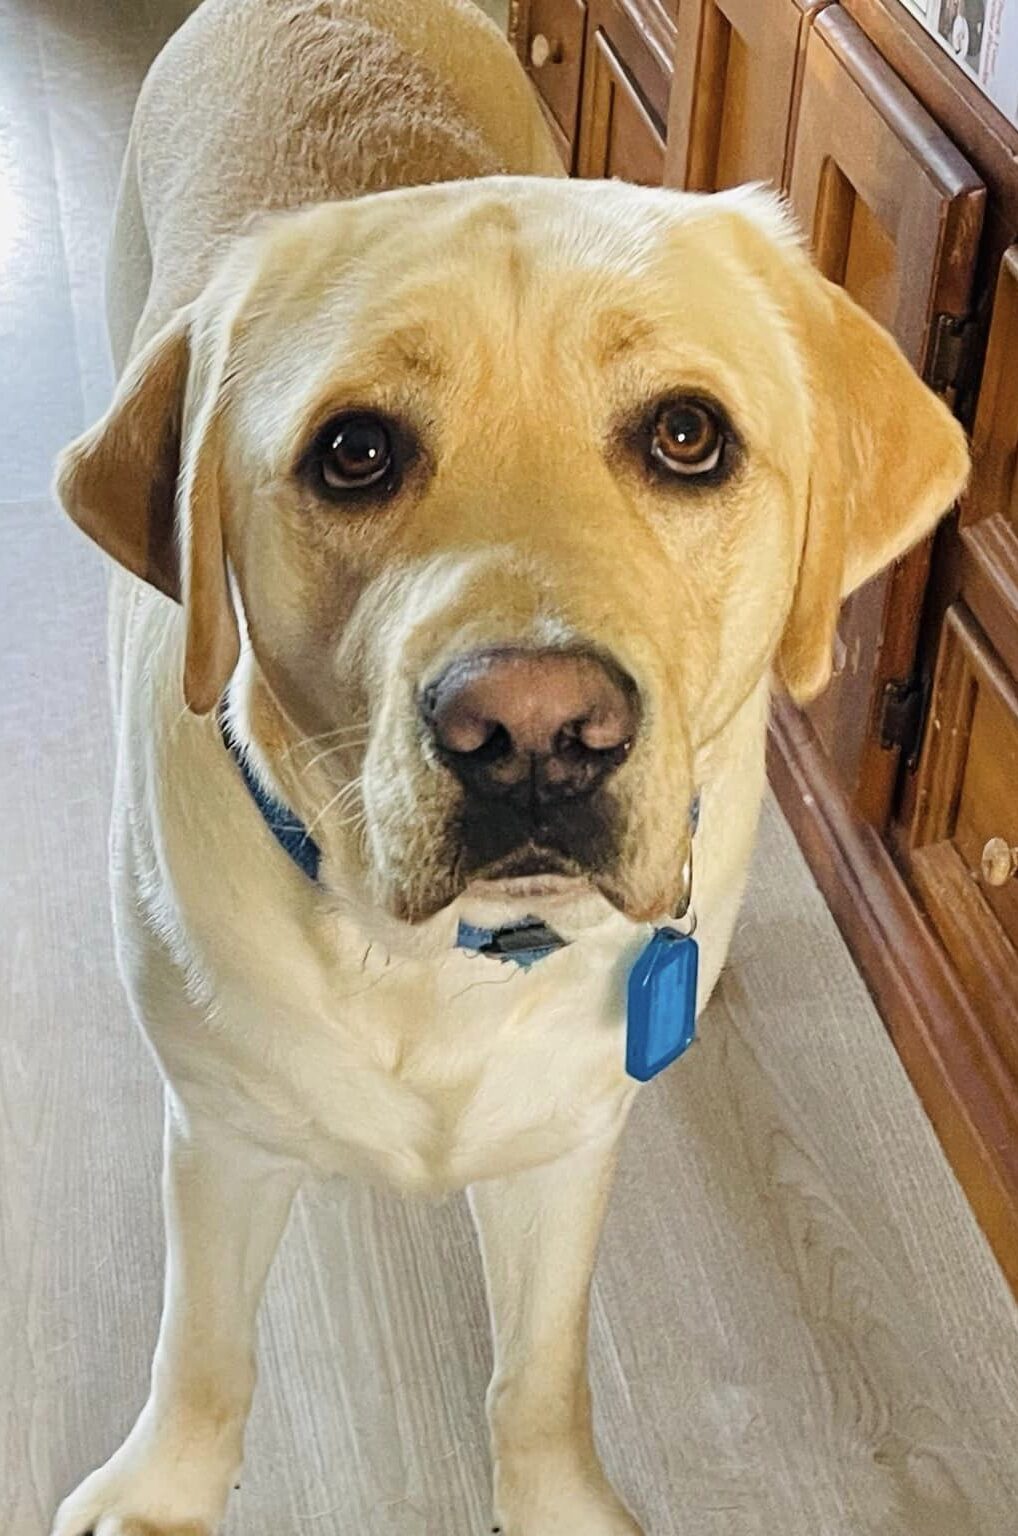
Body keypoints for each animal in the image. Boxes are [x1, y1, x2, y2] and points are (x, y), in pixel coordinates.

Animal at [53, 0, 970, 1529]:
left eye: (685, 435)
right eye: (353, 452)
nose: (535, 733)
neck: (436, 964)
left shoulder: (568, 1146)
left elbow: (538, 1376)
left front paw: (554, 1499)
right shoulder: (224, 1135)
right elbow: (206, 1351)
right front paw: (162, 1489)